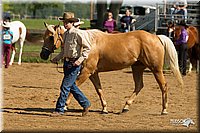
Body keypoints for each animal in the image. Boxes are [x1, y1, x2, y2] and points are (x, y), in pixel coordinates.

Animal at [40, 22, 183, 115]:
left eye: (51, 37)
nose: (43, 55)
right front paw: (104, 108)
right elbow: (99, 90)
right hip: (137, 68)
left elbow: (72, 86)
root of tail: (157, 37)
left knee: (163, 86)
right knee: (139, 86)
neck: (87, 43)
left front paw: (64, 106)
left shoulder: (86, 72)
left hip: (156, 69)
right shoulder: (93, 73)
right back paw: (125, 107)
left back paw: (164, 110)